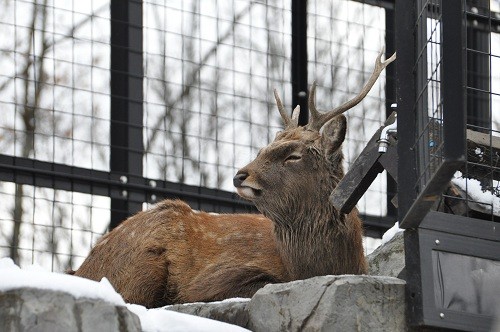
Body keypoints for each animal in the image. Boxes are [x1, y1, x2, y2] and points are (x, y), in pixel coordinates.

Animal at [70, 49, 396, 308]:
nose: (241, 174)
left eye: (293, 155)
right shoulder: (215, 280)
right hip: (140, 262)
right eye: (263, 148)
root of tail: (84, 267)